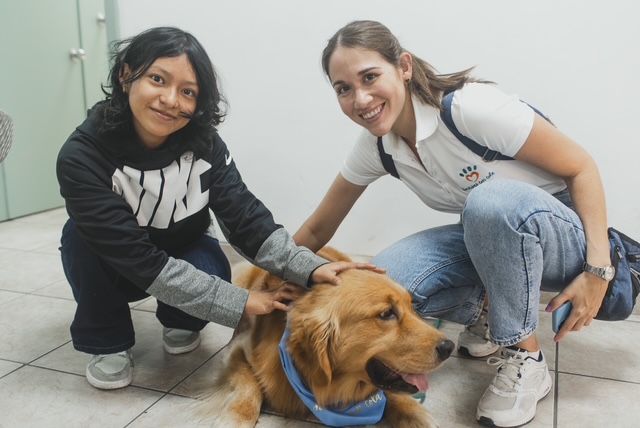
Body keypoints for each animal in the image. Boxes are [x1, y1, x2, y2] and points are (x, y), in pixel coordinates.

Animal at [195, 247, 454, 428]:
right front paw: (235, 418)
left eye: (413, 308)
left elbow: (392, 394)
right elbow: (250, 387)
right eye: (386, 313)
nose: (448, 347)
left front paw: (415, 414)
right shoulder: (237, 349)